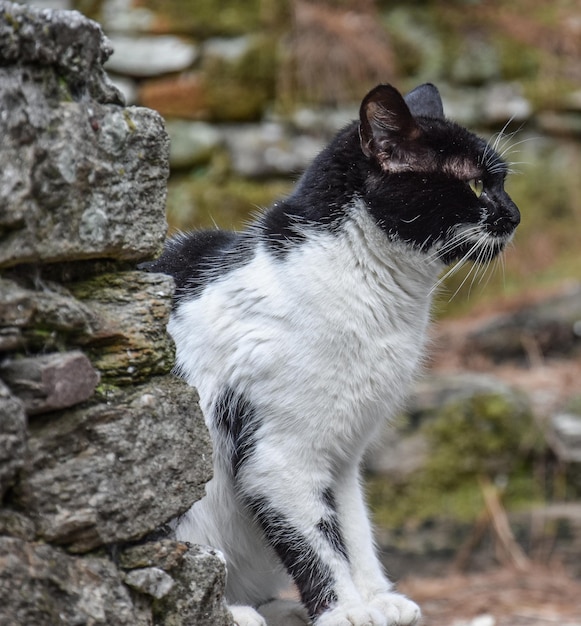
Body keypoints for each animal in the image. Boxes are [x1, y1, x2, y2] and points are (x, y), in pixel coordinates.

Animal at [142, 84, 520, 624]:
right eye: (473, 186)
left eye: (502, 182)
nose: (515, 215)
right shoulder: (282, 456)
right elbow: (317, 540)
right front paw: (345, 609)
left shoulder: (343, 453)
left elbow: (354, 528)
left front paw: (377, 598)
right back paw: (237, 610)